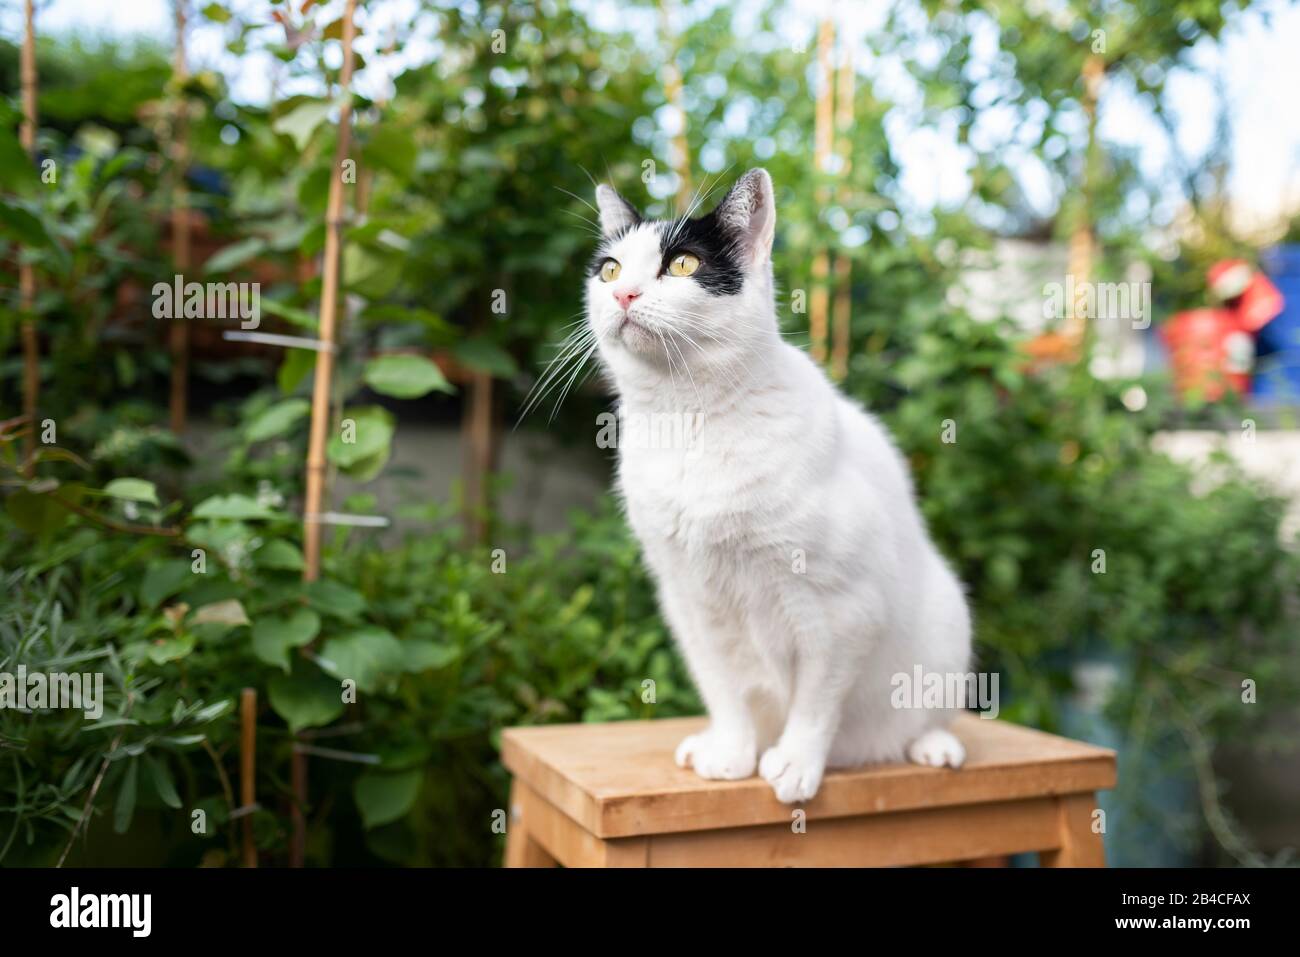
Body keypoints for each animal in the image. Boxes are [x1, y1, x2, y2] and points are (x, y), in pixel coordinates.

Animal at [585, 170, 972, 800]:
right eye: (611, 271)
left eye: (683, 265)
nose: (624, 296)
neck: (688, 421)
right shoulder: (691, 602)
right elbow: (725, 687)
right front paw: (731, 751)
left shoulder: (846, 608)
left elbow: (816, 698)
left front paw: (794, 761)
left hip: (946, 623)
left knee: (928, 714)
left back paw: (931, 746)